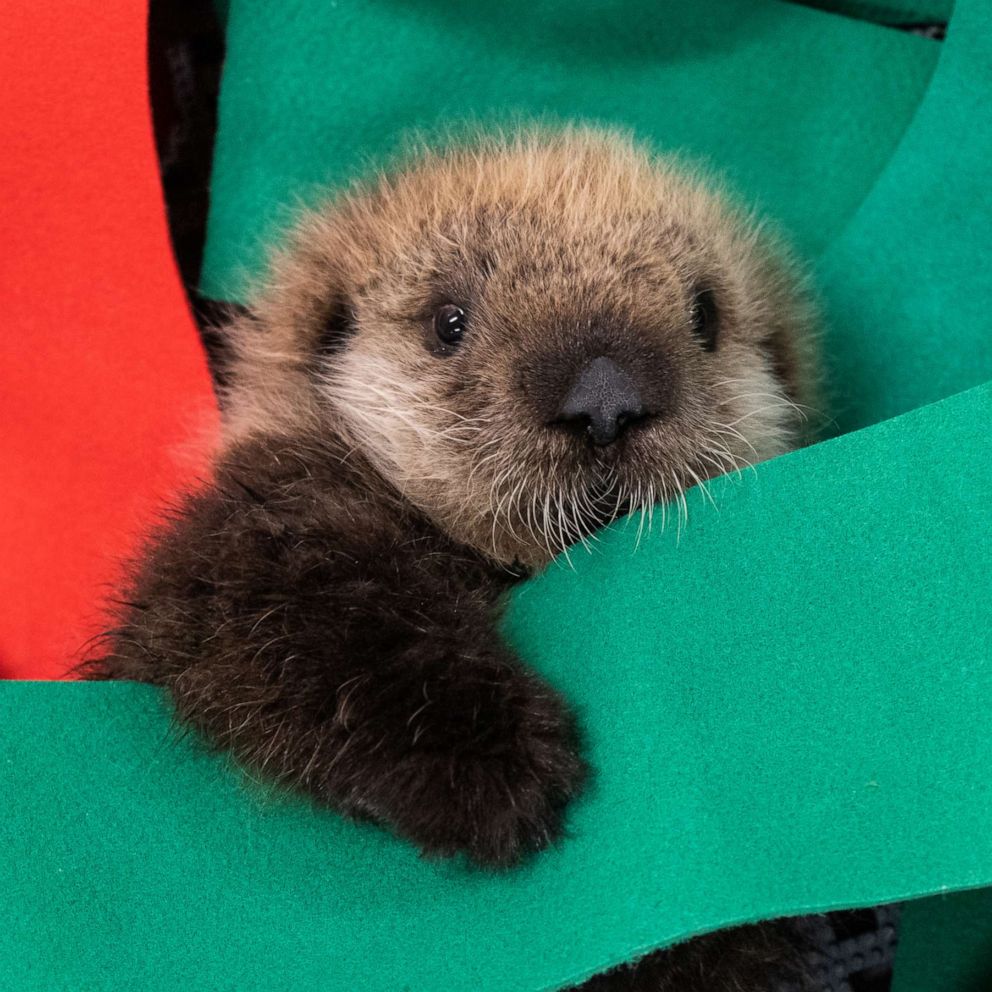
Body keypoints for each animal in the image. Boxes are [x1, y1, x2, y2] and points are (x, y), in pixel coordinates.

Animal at [92, 128, 820, 990]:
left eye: (705, 315)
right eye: (449, 321)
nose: (605, 398)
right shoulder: (254, 525)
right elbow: (303, 613)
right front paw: (492, 763)